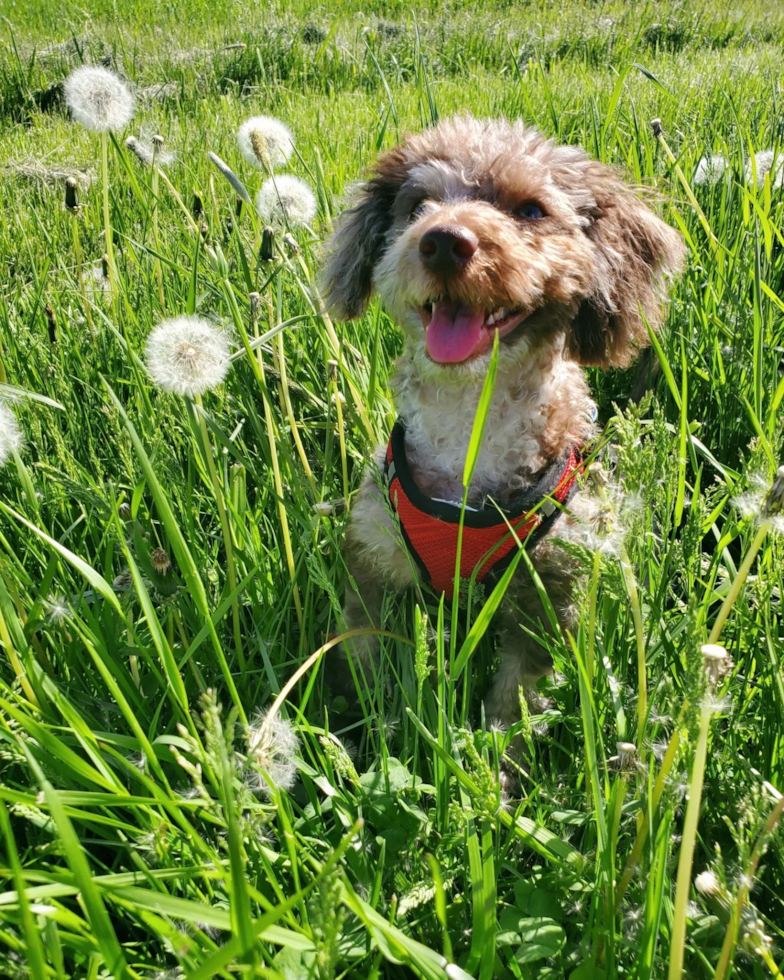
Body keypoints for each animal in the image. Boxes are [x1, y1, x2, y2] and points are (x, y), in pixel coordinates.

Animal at [322, 115, 684, 744]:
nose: (443, 241)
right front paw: (370, 729)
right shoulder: (373, 561)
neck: (469, 428)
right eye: (418, 205)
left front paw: (498, 759)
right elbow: (366, 657)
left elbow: (514, 699)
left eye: (531, 210)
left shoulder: (548, 595)